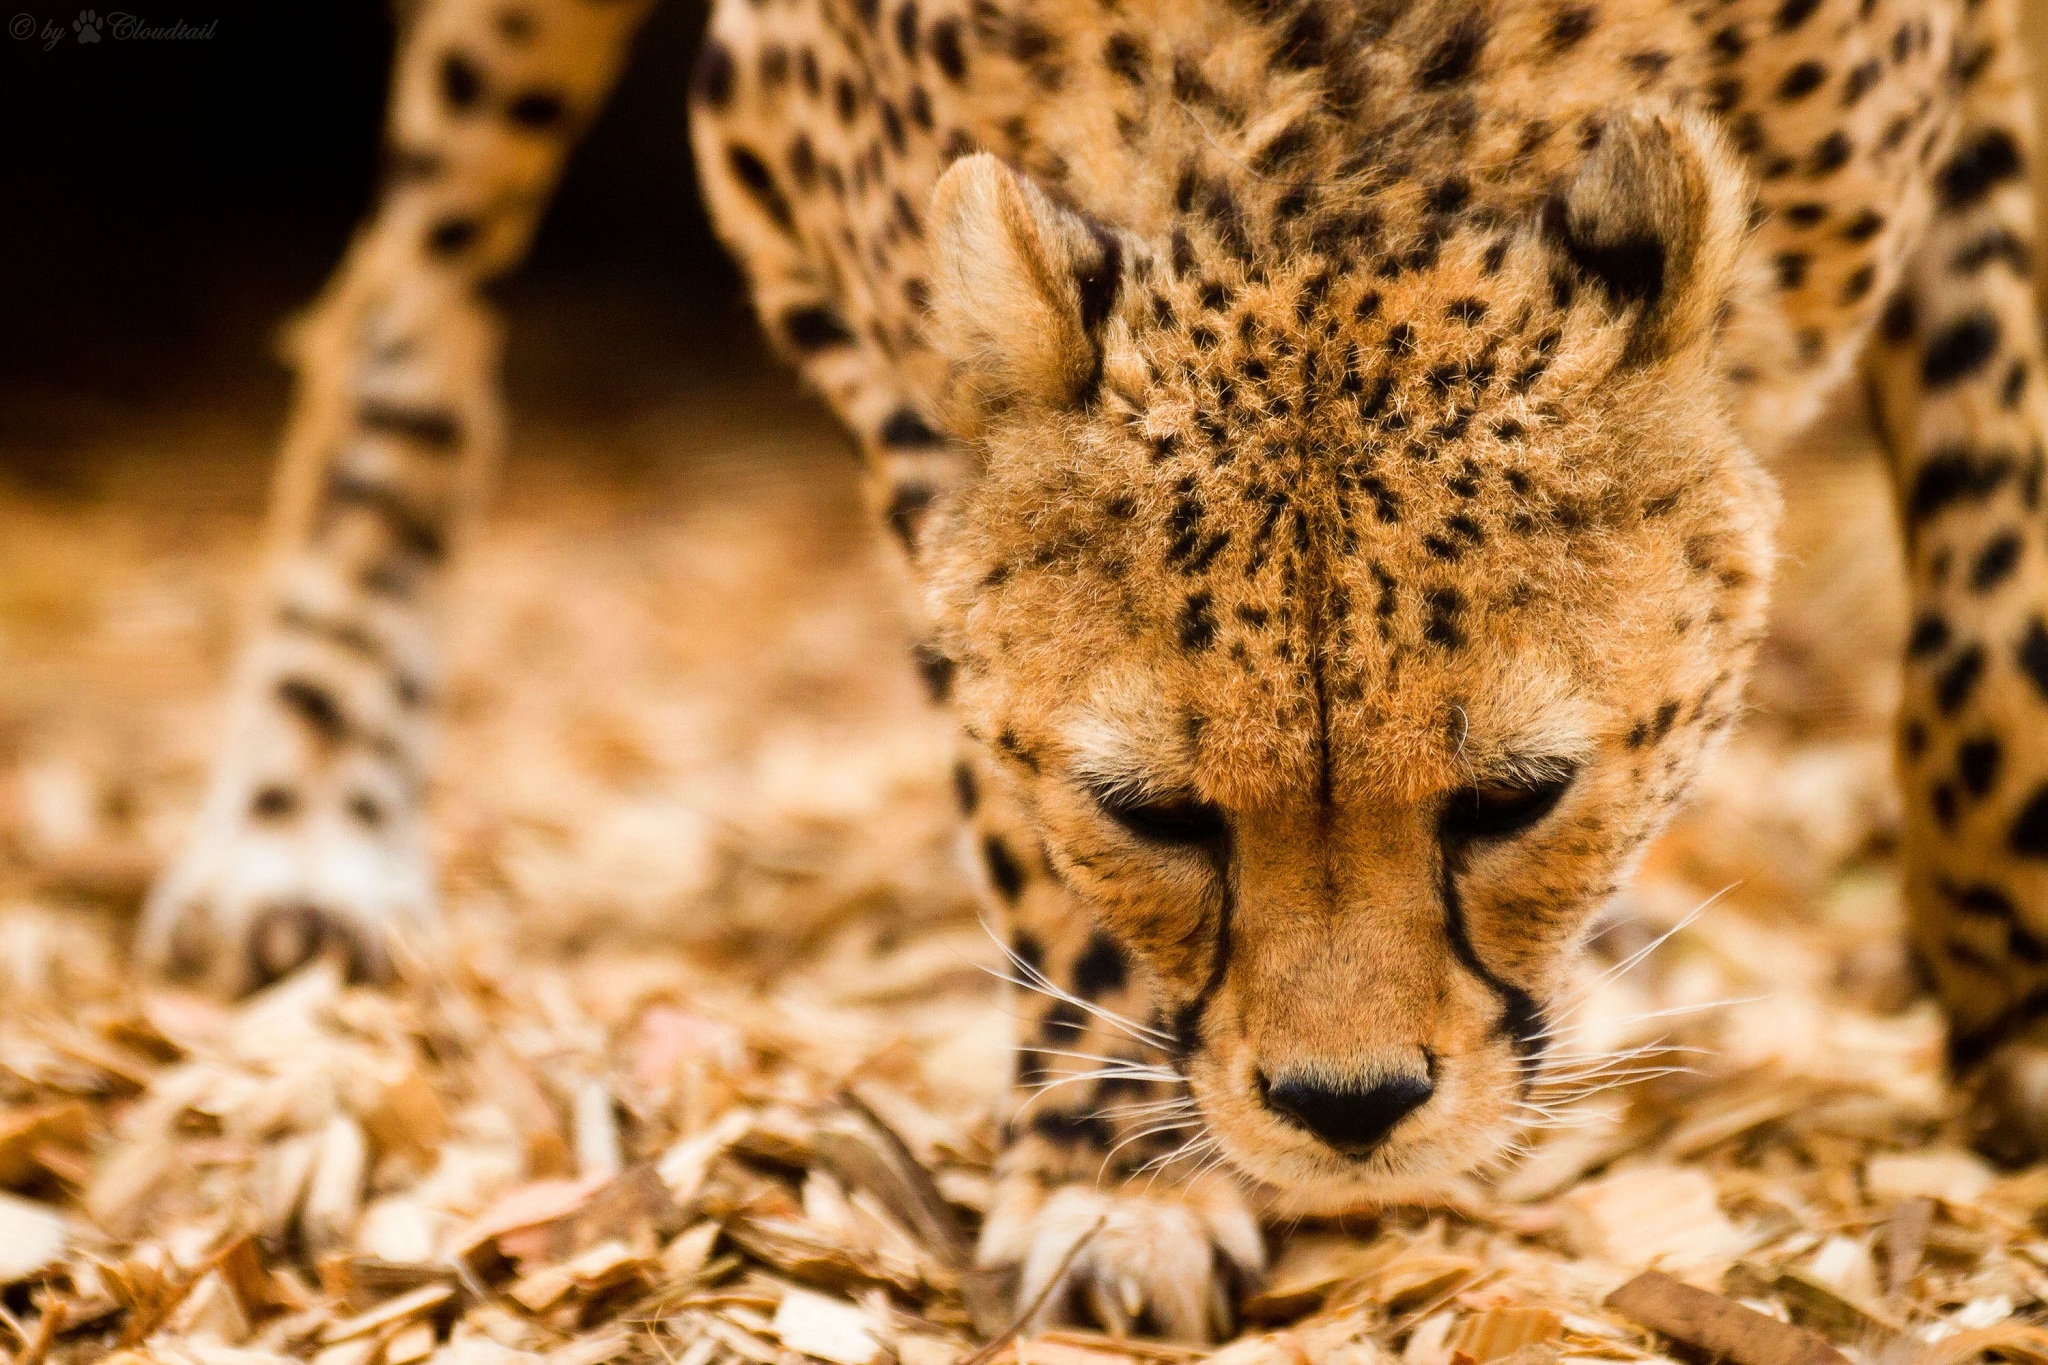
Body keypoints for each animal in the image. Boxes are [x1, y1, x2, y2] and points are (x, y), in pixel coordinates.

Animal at [151, 0, 2048, 1342]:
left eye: (1520, 800)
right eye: (1156, 811)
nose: (1347, 1112)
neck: (1348, 125)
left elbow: (1996, 603)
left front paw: (2022, 1025)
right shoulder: (798, 198)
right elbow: (1011, 786)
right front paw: (1119, 1171)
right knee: (405, 302)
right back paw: (302, 830)